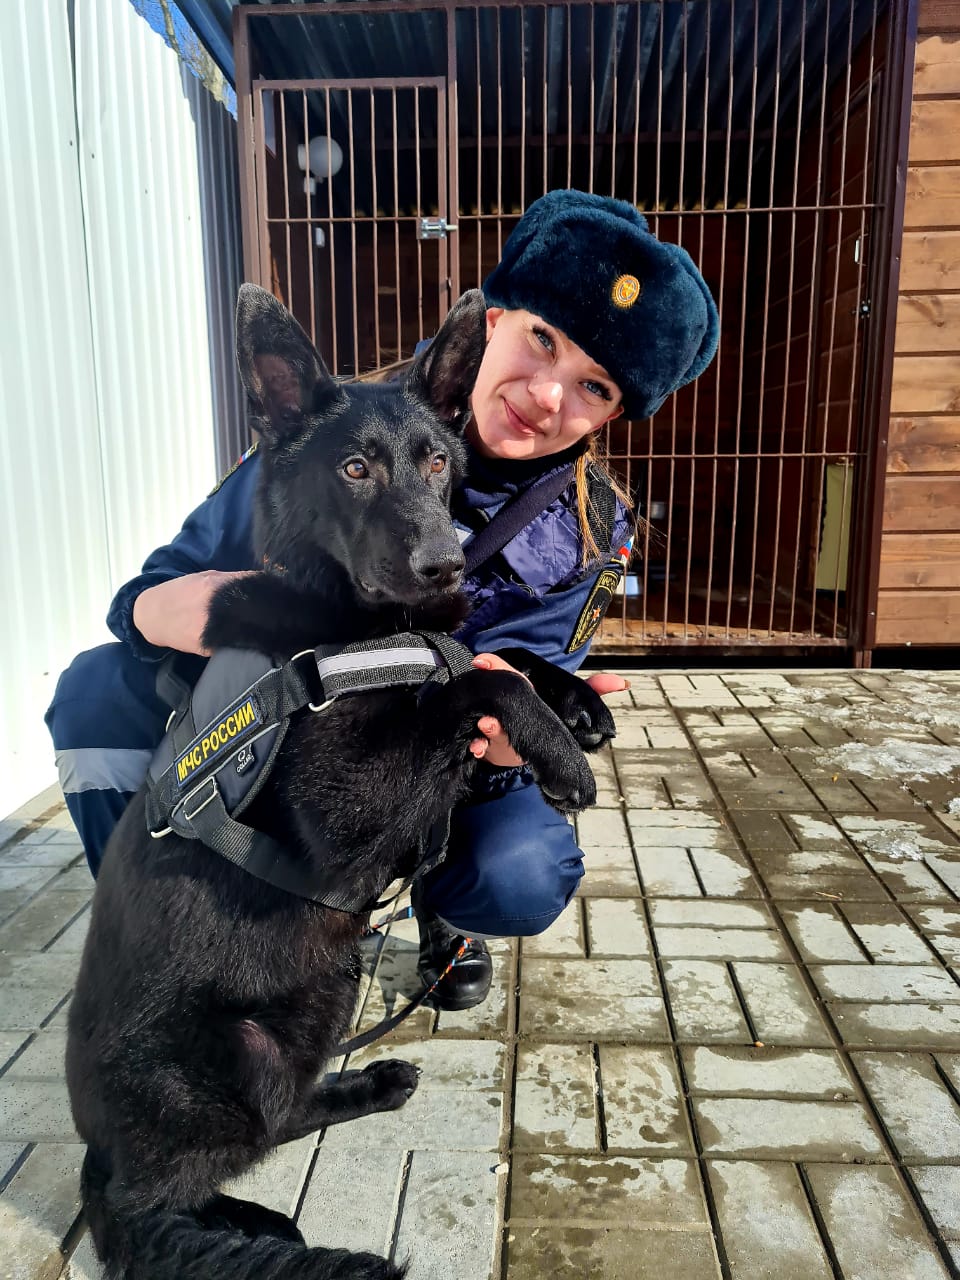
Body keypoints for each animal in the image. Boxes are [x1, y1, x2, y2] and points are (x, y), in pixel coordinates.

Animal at [65, 282, 616, 1280]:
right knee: (166, 1195)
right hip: (234, 1055)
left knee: (285, 1113)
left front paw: (571, 703)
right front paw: (554, 749)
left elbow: (489, 655)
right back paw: (245, 1223)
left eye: (437, 463)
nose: (445, 562)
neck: (361, 623)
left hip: (318, 993)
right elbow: (471, 681)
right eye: (355, 468)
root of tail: (98, 1154)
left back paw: (368, 1086)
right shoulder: (345, 814)